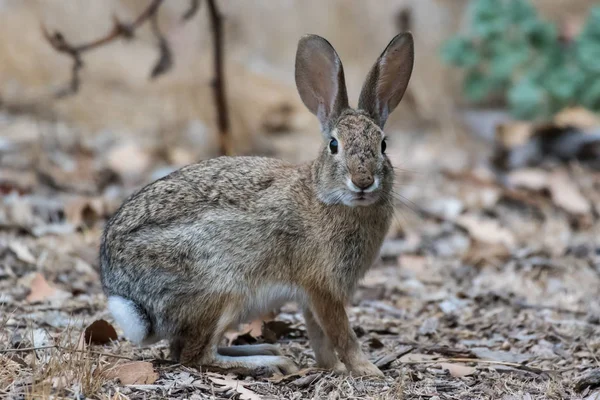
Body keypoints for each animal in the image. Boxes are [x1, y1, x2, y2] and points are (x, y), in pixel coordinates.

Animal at [101, 32, 414, 378]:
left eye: (383, 145)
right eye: (334, 145)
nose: (363, 181)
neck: (324, 197)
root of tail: (127, 292)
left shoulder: (311, 296)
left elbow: (319, 335)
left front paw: (331, 368)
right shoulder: (322, 287)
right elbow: (342, 334)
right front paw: (367, 369)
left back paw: (269, 350)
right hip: (223, 291)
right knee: (195, 355)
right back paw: (272, 361)